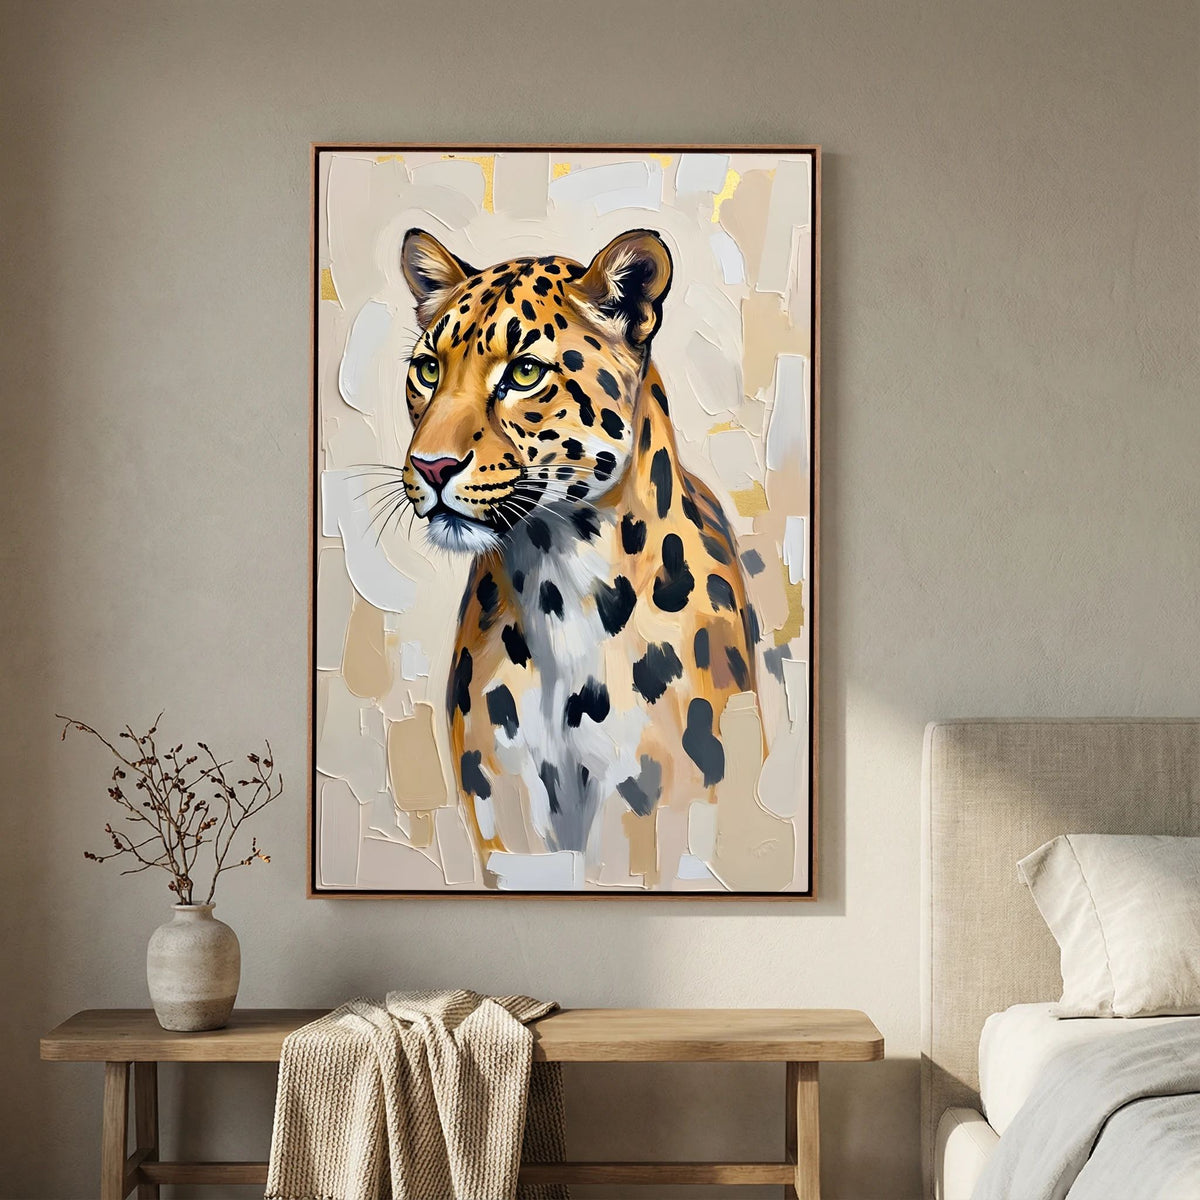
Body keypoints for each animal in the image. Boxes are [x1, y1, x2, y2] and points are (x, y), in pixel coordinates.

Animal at [397, 226, 759, 886]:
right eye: (429, 369)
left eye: (524, 372)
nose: (431, 466)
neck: (555, 579)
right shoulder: (505, 811)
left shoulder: (650, 807)